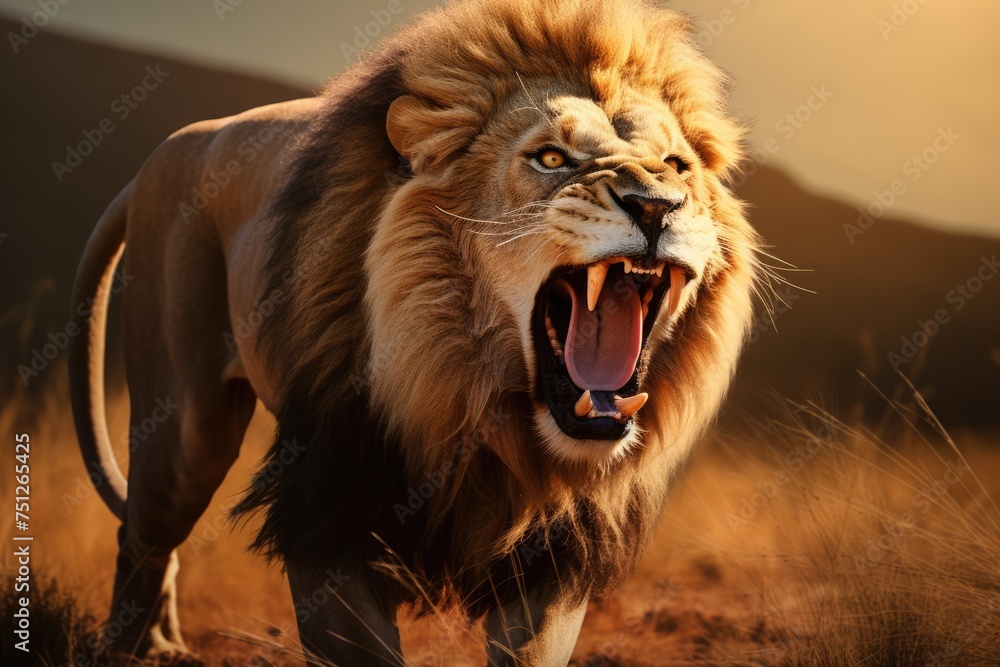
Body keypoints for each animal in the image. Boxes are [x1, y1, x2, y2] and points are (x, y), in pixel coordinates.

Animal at [69, 0, 760, 663]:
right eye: (551, 158)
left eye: (676, 166)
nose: (655, 205)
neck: (473, 401)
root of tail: (177, 142)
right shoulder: (329, 512)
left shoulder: (553, 551)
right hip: (186, 433)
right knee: (141, 531)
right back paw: (139, 648)